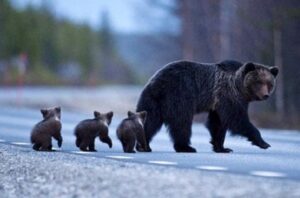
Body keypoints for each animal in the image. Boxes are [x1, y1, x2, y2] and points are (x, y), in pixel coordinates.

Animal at [136, 60, 278, 153]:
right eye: (259, 82)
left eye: (269, 83)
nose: (265, 95)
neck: (240, 88)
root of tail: (156, 83)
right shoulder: (228, 96)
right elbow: (236, 120)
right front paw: (264, 143)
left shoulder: (218, 103)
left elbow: (218, 123)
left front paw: (222, 148)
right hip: (179, 95)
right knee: (181, 122)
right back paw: (186, 147)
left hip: (152, 101)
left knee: (149, 120)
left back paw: (143, 146)